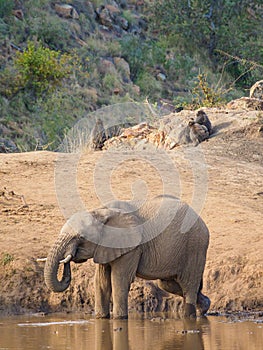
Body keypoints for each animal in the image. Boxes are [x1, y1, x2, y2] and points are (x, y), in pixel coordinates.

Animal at [44, 196, 211, 318]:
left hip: (195, 247)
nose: (68, 257)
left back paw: (189, 316)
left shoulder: (132, 248)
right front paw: (101, 318)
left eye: (80, 238)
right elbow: (101, 282)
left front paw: (119, 318)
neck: (101, 212)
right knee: (169, 284)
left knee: (188, 285)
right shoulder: (105, 246)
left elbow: (118, 280)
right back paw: (204, 307)